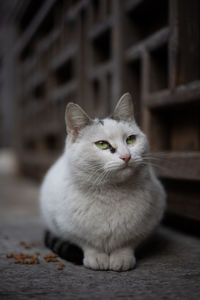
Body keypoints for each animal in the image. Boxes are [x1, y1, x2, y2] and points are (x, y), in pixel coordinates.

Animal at [39, 92, 166, 270]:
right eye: (102, 144)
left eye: (131, 139)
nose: (126, 156)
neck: (111, 192)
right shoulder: (66, 227)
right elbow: (86, 242)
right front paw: (96, 257)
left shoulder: (149, 223)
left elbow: (128, 243)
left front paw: (121, 257)